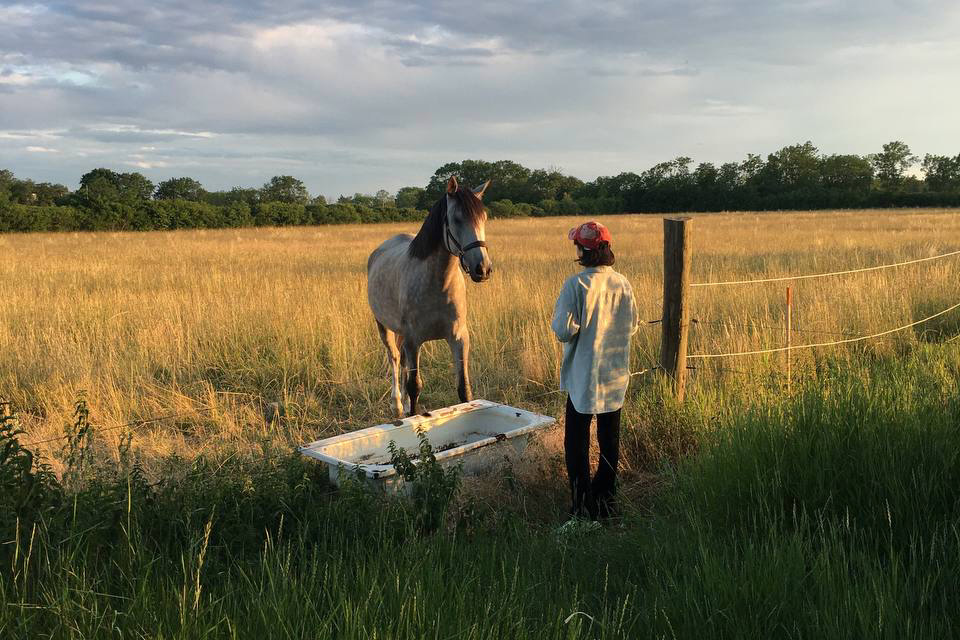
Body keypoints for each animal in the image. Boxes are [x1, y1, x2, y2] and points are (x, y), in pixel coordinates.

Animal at [367, 176, 493, 418]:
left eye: (484, 218)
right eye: (457, 219)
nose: (482, 269)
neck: (438, 283)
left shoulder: (459, 338)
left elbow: (464, 388)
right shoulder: (413, 339)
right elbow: (414, 385)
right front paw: (411, 414)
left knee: (403, 363)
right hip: (383, 326)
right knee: (395, 358)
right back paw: (397, 404)